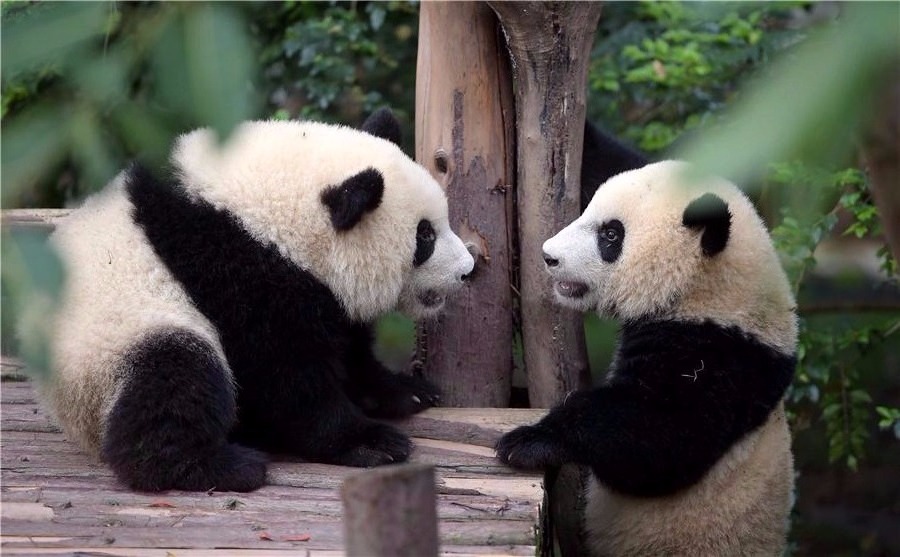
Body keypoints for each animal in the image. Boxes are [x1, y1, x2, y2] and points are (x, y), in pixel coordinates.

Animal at [35, 109, 475, 493]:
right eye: (424, 236)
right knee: (176, 376)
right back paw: (216, 467)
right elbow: (283, 376)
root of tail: (71, 415)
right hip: (113, 345)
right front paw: (370, 442)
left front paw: (405, 390)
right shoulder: (236, 273)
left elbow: (348, 348)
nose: (467, 269)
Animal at [496, 160, 797, 556]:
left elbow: (658, 437)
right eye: (588, 209)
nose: (549, 256)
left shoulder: (722, 358)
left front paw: (529, 441)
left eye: (611, 235)